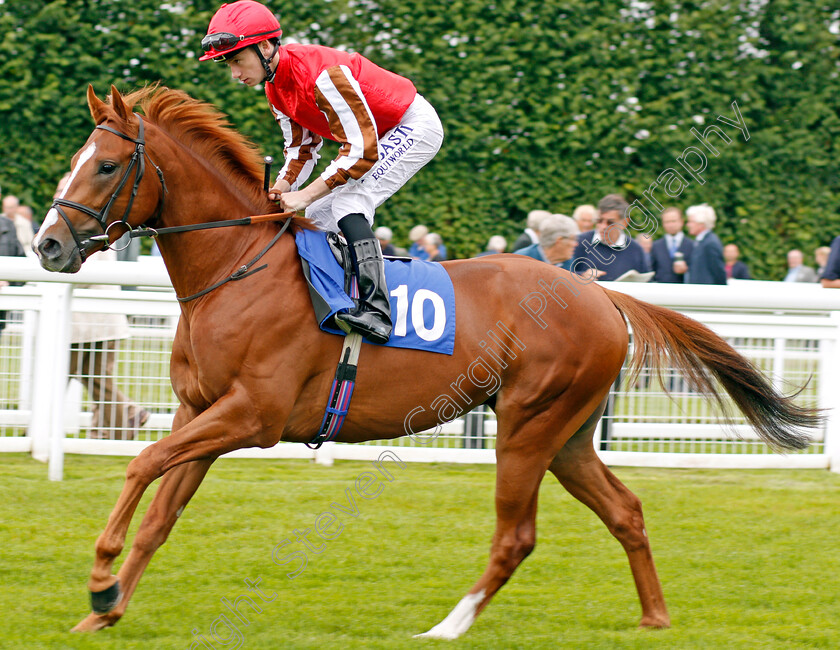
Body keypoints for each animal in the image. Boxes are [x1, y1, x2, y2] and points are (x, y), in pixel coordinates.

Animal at [34, 83, 820, 636]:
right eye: (74, 162)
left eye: (107, 165)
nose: (46, 245)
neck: (238, 267)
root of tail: (602, 294)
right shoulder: (202, 412)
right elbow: (161, 509)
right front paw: (106, 608)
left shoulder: (251, 417)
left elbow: (140, 463)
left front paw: (100, 579)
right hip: (567, 433)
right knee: (625, 510)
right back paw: (654, 618)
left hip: (529, 425)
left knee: (517, 535)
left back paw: (447, 626)